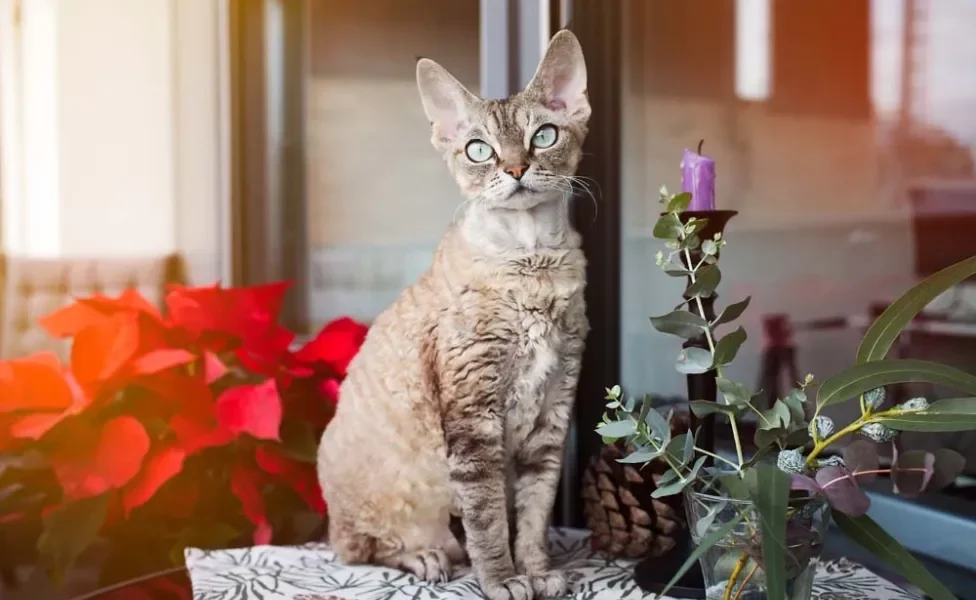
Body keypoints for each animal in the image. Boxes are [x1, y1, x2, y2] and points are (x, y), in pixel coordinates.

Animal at [320, 31, 592, 600]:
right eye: (479, 149)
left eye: (544, 136)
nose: (515, 168)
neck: (532, 261)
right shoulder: (473, 417)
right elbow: (487, 516)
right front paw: (503, 580)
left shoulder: (552, 413)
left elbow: (533, 511)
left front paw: (535, 571)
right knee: (361, 547)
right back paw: (425, 556)